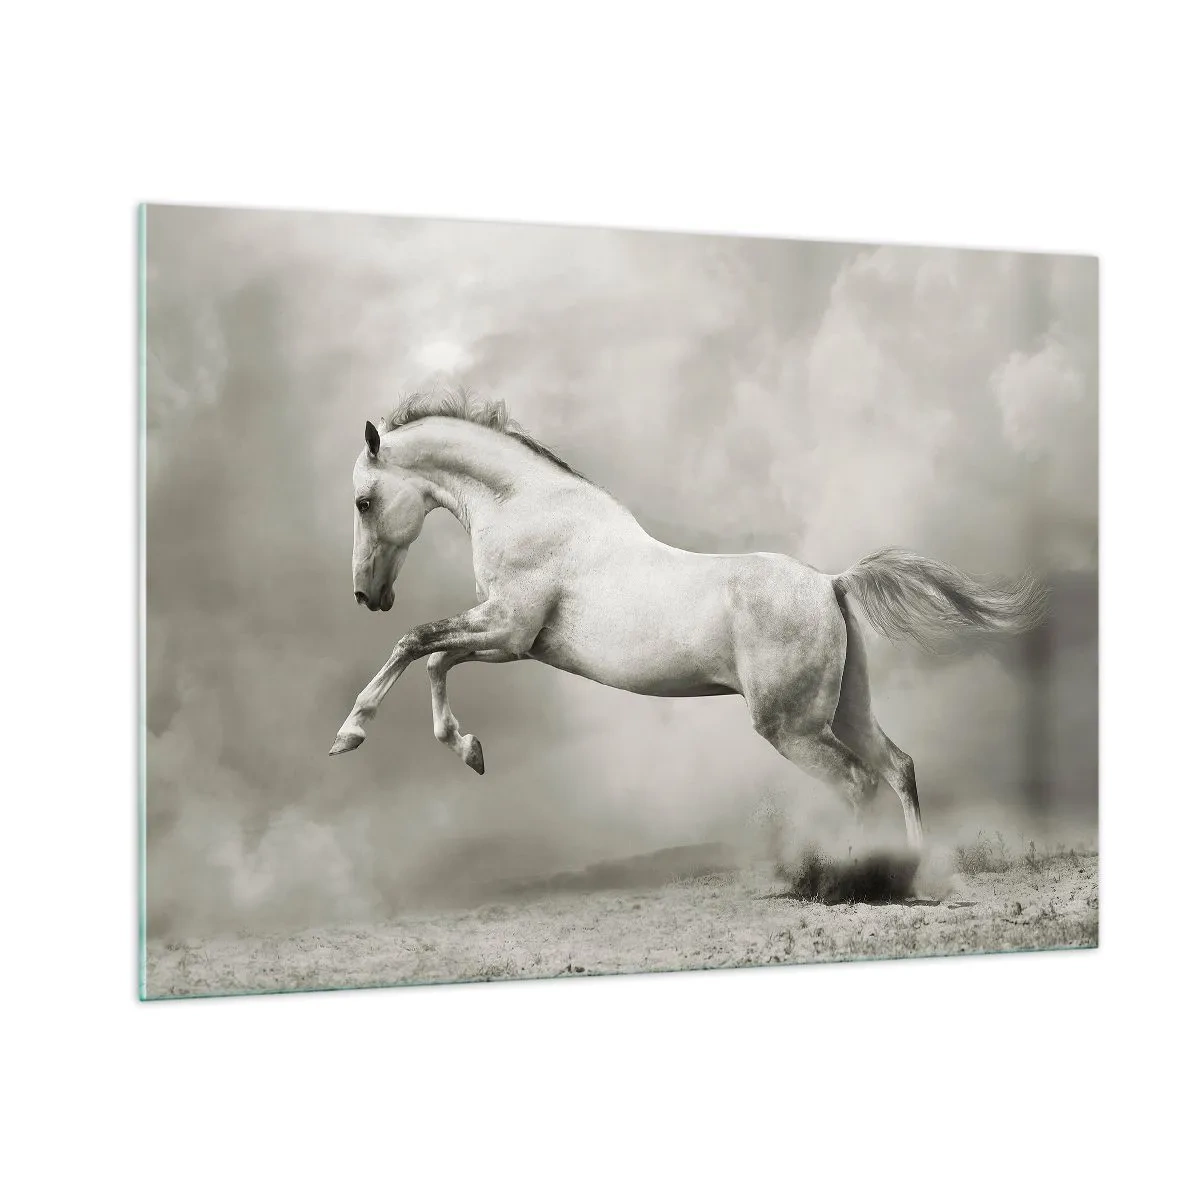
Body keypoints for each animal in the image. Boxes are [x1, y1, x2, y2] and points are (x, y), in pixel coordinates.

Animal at [329, 390, 1047, 851]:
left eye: (363, 502)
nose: (366, 595)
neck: (526, 506)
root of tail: (830, 584)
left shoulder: (507, 628)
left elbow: (414, 643)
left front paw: (349, 735)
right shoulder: (512, 641)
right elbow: (436, 658)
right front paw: (469, 749)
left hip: (791, 727)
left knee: (858, 783)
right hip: (846, 710)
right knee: (898, 769)